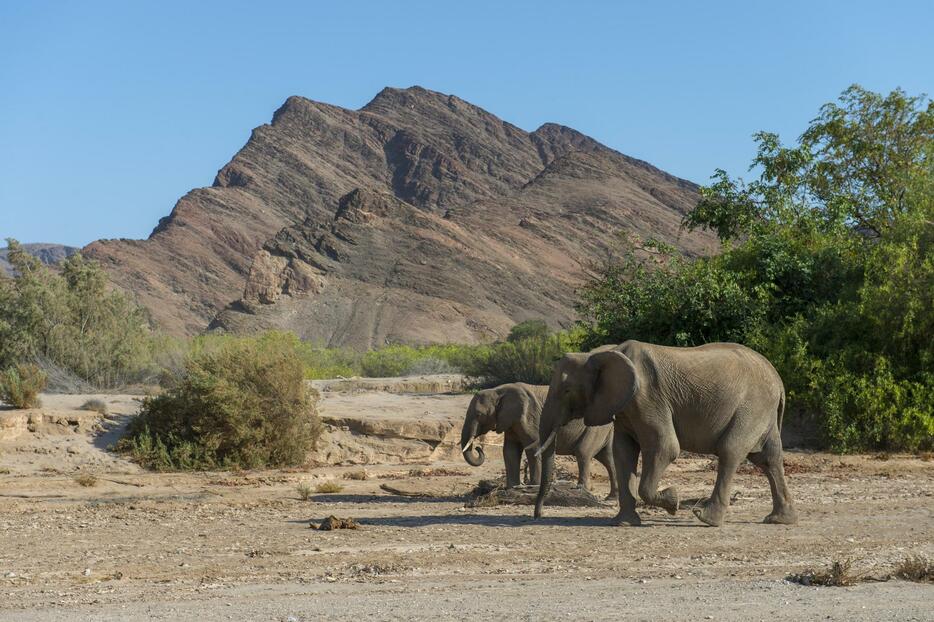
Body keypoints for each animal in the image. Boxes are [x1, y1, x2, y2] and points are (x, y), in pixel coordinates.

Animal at [460, 380, 620, 498]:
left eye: (479, 415)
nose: (478, 448)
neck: (498, 391)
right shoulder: (510, 422)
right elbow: (510, 451)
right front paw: (512, 488)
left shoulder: (529, 417)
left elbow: (533, 447)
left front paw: (533, 486)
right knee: (608, 458)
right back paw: (611, 497)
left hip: (595, 427)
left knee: (583, 453)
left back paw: (582, 490)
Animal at [532, 344, 796, 528]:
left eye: (567, 390)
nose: (537, 515)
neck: (602, 353)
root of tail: (778, 380)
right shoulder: (625, 407)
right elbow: (623, 453)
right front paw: (622, 523)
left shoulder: (648, 399)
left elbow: (665, 448)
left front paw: (673, 501)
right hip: (762, 412)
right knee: (768, 459)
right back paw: (779, 520)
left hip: (751, 407)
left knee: (730, 451)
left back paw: (706, 518)